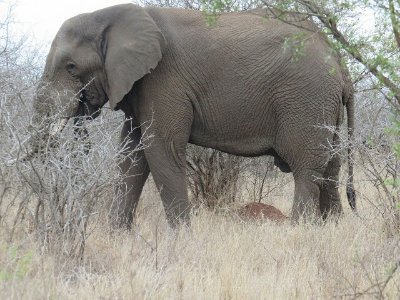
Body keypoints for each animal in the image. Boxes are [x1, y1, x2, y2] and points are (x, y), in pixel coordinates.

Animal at [26, 2, 354, 227]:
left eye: (71, 68)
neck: (110, 15)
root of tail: (338, 59)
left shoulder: (163, 81)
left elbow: (162, 150)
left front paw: (181, 238)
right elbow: (131, 157)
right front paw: (117, 235)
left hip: (306, 99)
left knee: (307, 168)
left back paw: (300, 230)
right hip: (323, 106)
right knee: (331, 168)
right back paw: (333, 231)